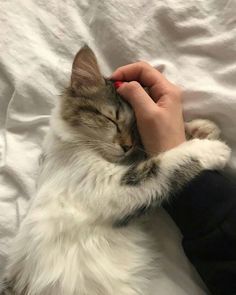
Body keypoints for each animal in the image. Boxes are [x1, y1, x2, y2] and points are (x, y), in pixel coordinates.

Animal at [0, 45, 230, 294]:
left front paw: (203, 129)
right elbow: (166, 162)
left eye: (137, 129)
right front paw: (215, 149)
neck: (75, 146)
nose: (127, 146)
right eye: (112, 119)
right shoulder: (109, 188)